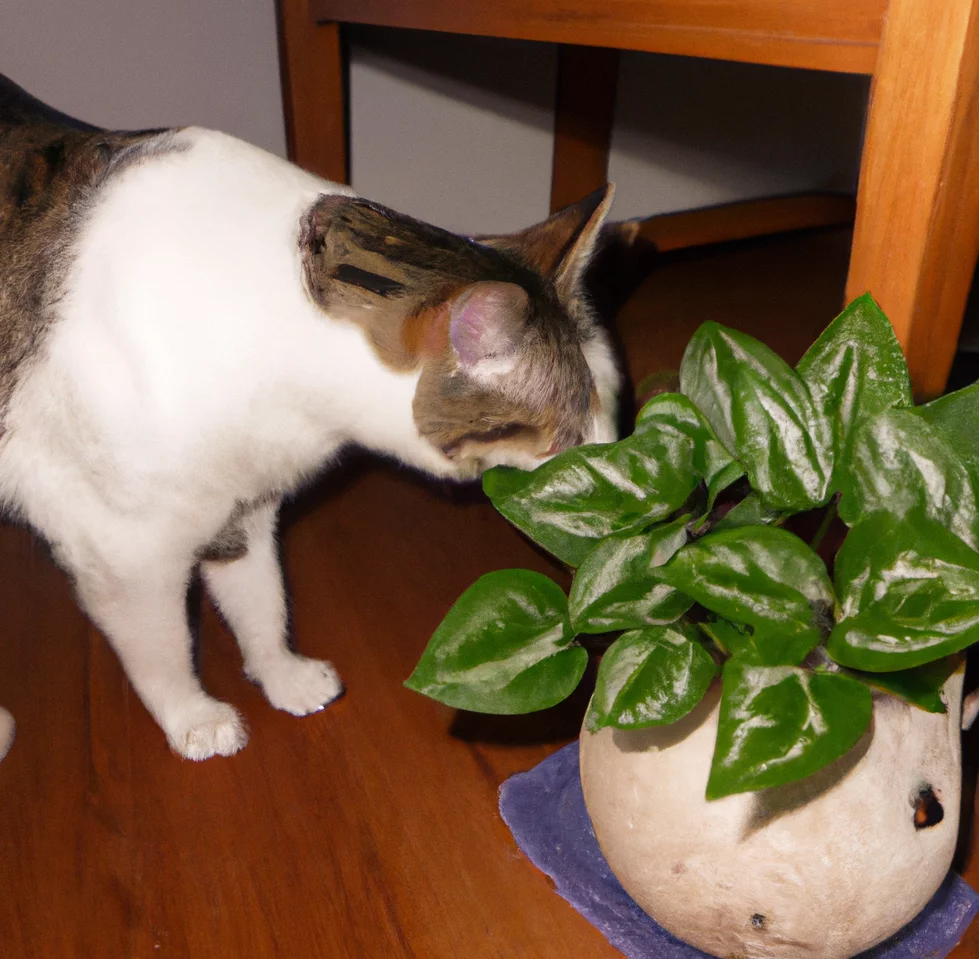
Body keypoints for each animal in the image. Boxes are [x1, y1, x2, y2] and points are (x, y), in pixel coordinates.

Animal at [0, 75, 620, 764]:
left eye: (613, 403)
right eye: (567, 434)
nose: (621, 461)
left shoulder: (245, 506)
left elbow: (262, 600)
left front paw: (283, 676)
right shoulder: (119, 548)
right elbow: (162, 647)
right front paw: (194, 720)